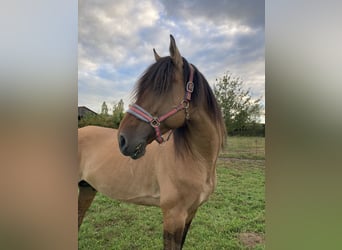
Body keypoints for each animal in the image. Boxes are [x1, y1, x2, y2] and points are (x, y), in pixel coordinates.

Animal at [78, 35, 226, 250]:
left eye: (160, 88)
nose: (122, 139)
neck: (197, 160)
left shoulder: (190, 213)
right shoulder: (173, 216)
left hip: (86, 189)